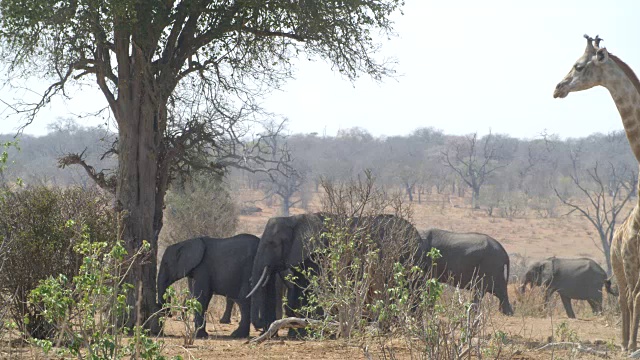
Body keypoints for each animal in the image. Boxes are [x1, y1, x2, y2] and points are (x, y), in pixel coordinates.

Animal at [248, 212, 428, 334]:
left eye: (272, 244)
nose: (261, 326)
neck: (294, 219)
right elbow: (301, 288)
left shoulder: (321, 254)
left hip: (409, 261)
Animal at [552, 35, 640, 352]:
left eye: (579, 65)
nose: (557, 88)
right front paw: (631, 345)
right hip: (619, 263)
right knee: (626, 297)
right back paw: (627, 343)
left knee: (629, 297)